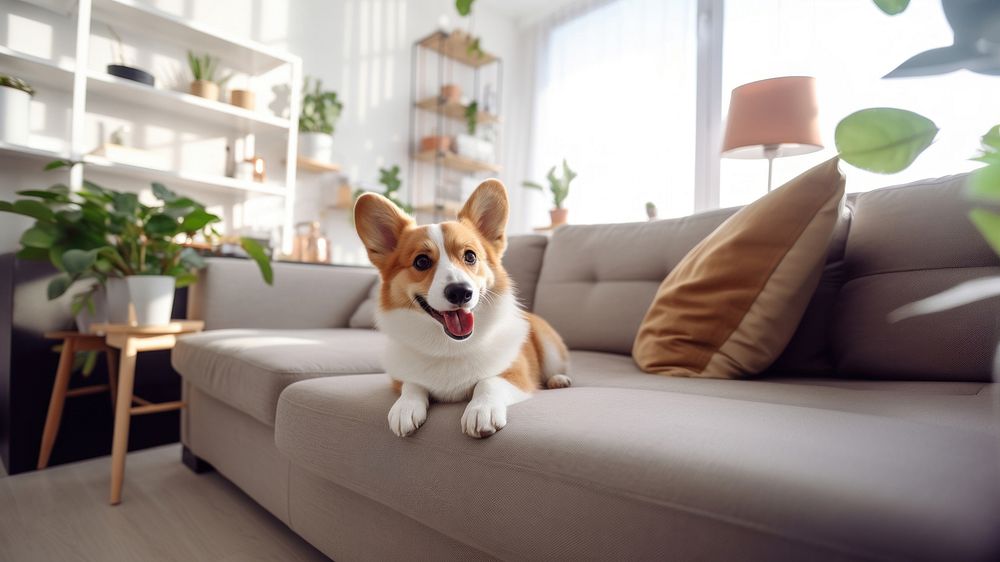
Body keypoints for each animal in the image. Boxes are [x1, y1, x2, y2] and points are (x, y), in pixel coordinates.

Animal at [354, 179, 572, 438]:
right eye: (421, 261)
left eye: (470, 256)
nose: (460, 292)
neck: (450, 347)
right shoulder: (401, 378)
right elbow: (412, 385)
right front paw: (404, 408)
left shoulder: (517, 376)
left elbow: (487, 382)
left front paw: (481, 410)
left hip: (548, 345)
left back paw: (559, 379)